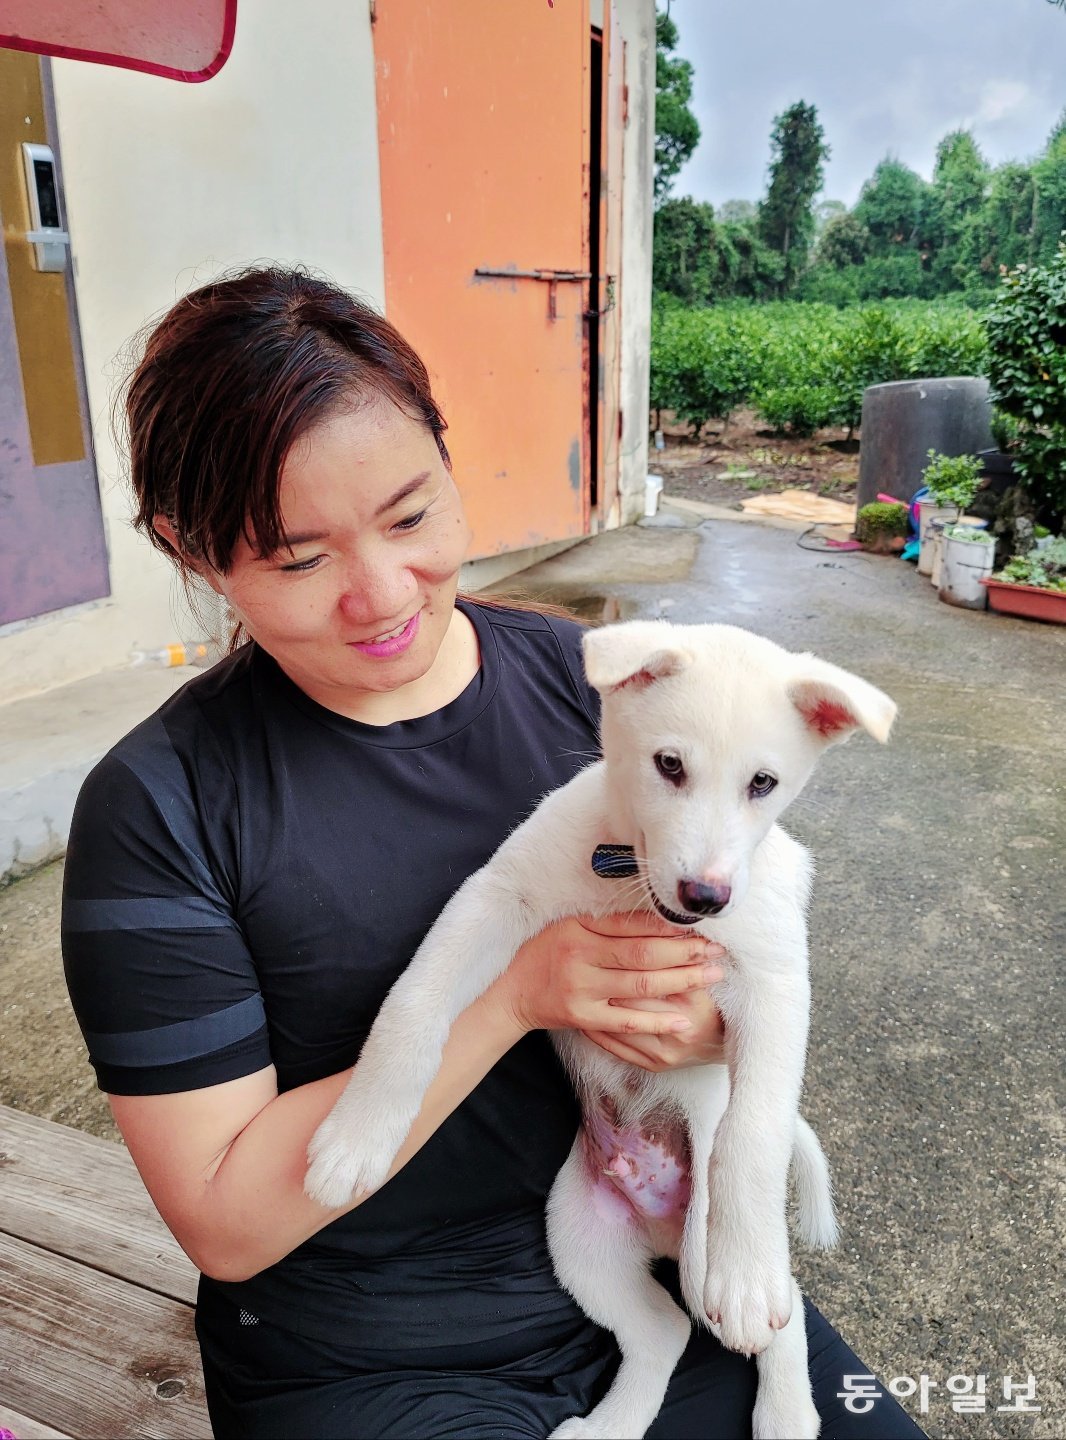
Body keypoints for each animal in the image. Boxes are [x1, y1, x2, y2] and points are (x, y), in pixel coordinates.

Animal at [303, 622, 893, 1440]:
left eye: (764, 784)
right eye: (669, 765)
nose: (705, 896)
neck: (633, 884)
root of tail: (660, 1231)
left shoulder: (774, 979)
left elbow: (753, 1128)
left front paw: (748, 1280)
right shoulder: (497, 896)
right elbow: (413, 1003)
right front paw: (357, 1139)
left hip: (698, 1245)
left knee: (778, 1312)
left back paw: (783, 1406)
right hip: (578, 1239)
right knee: (665, 1331)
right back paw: (609, 1426)